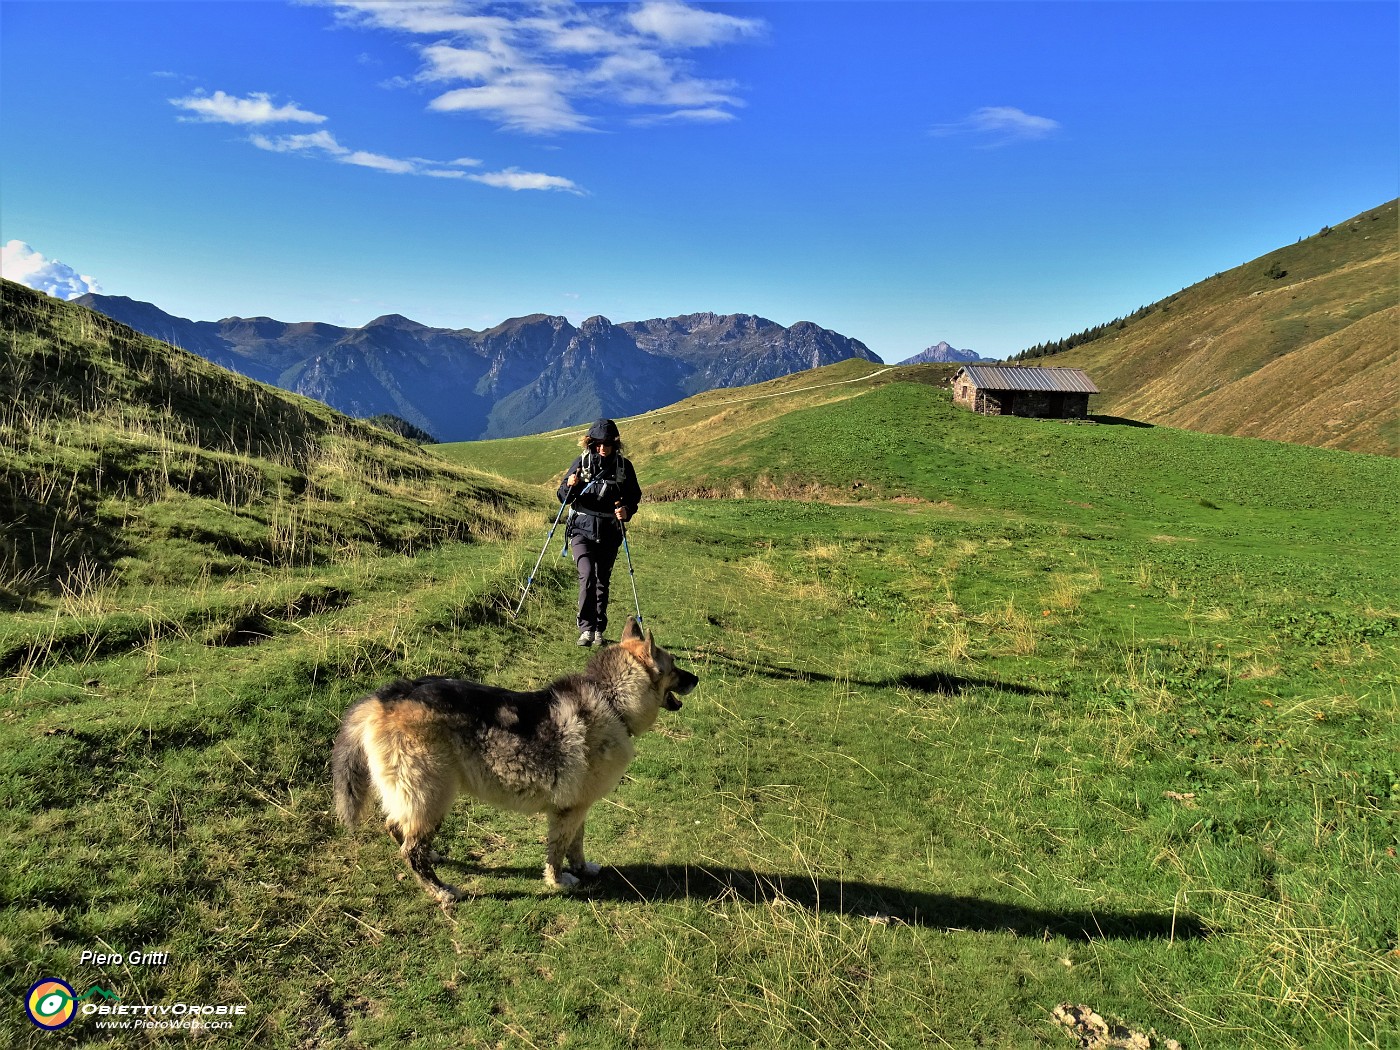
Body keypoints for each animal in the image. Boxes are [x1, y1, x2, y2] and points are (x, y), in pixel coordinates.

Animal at [329, 616, 700, 907]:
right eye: (674, 666)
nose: (697, 678)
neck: (611, 698)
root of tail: (384, 697)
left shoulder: (579, 807)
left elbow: (577, 844)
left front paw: (582, 870)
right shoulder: (567, 811)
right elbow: (558, 850)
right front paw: (558, 881)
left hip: (416, 798)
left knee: (398, 829)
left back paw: (432, 857)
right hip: (432, 796)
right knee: (410, 850)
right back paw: (441, 891)